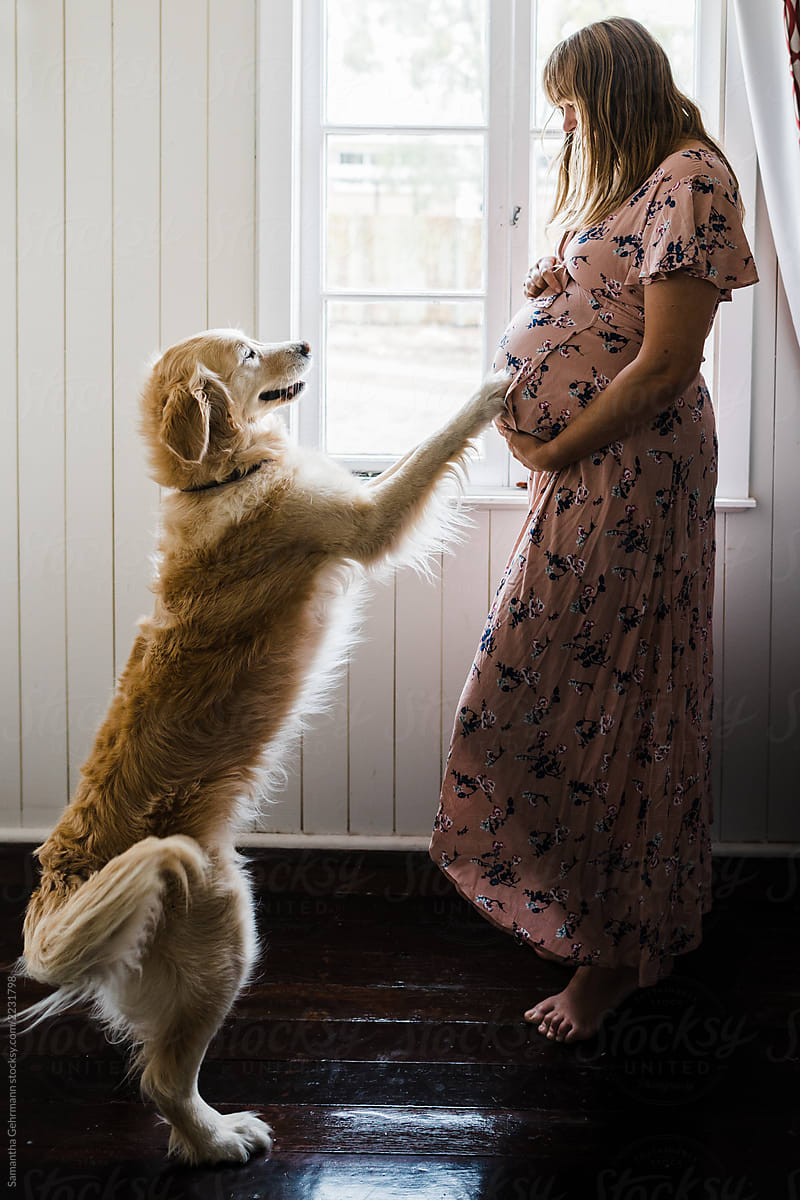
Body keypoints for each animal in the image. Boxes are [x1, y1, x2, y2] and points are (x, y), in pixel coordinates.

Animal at [10, 328, 513, 1161]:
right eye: (248, 354)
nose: (305, 342)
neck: (217, 479)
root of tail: (62, 878)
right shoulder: (366, 516)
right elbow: (432, 441)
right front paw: (492, 384)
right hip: (224, 936)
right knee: (164, 1080)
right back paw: (219, 1139)